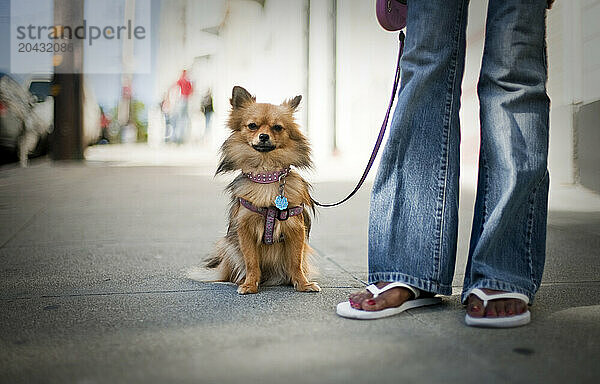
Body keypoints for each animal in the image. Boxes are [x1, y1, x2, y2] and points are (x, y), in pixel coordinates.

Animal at [205, 85, 322, 294]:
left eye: (277, 127)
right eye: (252, 126)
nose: (264, 136)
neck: (266, 175)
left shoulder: (295, 229)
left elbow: (295, 262)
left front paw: (303, 284)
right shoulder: (244, 229)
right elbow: (251, 261)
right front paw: (250, 284)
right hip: (228, 246)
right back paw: (240, 280)